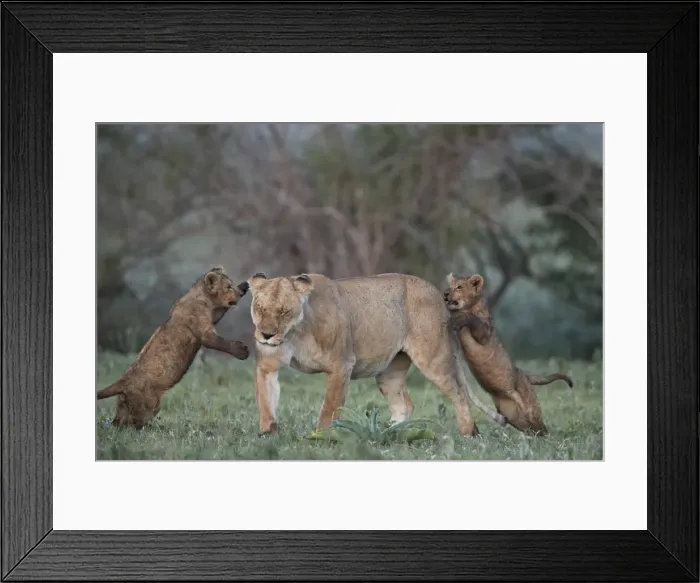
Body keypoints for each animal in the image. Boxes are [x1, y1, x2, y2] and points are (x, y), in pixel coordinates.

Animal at [96, 265, 251, 428]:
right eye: (228, 287)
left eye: (232, 284)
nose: (240, 293)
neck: (204, 298)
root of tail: (124, 380)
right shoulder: (204, 332)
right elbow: (221, 343)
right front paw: (242, 351)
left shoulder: (213, 315)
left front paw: (245, 285)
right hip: (149, 404)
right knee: (133, 422)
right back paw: (151, 427)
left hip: (126, 404)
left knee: (120, 420)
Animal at [246, 271, 507, 437]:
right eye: (259, 308)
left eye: (283, 311)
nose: (266, 335)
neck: (294, 333)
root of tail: (438, 293)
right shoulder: (267, 366)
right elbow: (266, 402)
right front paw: (267, 434)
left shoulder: (341, 365)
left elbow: (329, 408)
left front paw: (320, 437)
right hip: (388, 372)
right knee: (404, 404)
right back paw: (386, 435)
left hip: (433, 359)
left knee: (459, 395)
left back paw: (468, 434)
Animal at [443, 272, 573, 436]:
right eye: (449, 285)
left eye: (459, 287)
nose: (445, 294)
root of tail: (525, 375)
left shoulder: (485, 334)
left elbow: (471, 318)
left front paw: (457, 318)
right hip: (511, 414)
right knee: (531, 428)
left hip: (529, 406)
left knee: (541, 425)